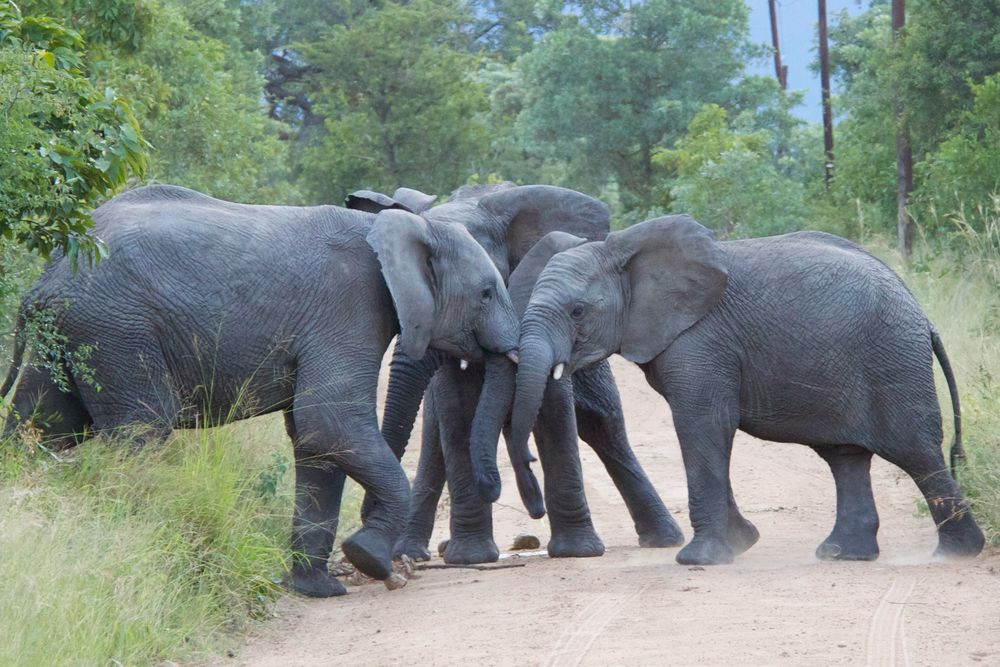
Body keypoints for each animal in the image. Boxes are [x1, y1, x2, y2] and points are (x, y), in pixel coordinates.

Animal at [5, 184, 524, 600]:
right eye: (485, 293)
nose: (496, 487)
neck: (400, 226)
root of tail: (45, 277)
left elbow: (315, 441)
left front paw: (321, 591)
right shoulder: (348, 307)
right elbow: (328, 422)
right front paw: (367, 559)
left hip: (74, 333)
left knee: (43, 421)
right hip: (116, 330)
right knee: (141, 430)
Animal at [346, 183, 688, 564]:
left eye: (486, 290)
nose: (533, 506)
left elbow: (554, 408)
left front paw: (577, 552)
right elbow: (458, 413)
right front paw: (471, 558)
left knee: (604, 426)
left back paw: (664, 539)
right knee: (435, 442)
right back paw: (409, 553)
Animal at [500, 217, 984, 568]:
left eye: (577, 311)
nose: (534, 512)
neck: (620, 249)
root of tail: (922, 315)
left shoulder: (700, 339)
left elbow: (701, 424)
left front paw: (701, 560)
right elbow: (706, 430)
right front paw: (743, 542)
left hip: (891, 360)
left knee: (915, 451)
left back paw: (955, 555)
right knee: (845, 457)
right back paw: (842, 555)